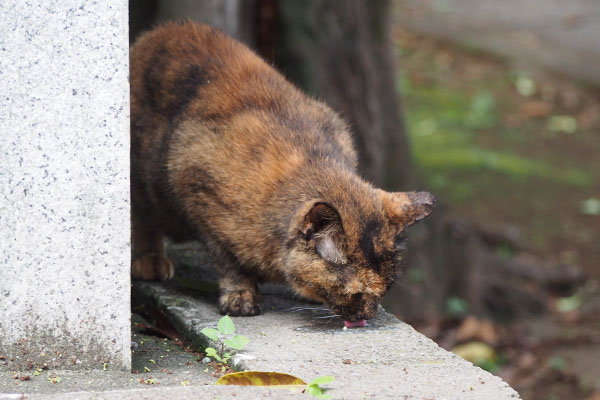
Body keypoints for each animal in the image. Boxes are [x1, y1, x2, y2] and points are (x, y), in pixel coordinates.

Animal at [130, 21, 436, 324]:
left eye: (385, 288)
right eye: (353, 292)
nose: (368, 315)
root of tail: (165, 29)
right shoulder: (195, 183)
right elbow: (227, 259)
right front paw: (240, 295)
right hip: (145, 185)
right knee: (142, 217)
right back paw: (150, 260)